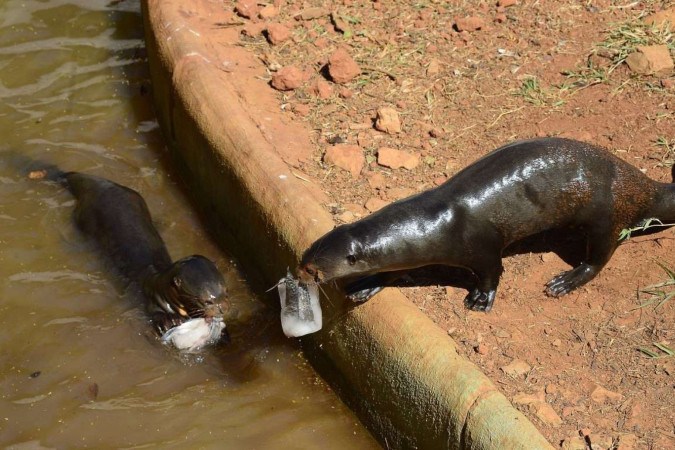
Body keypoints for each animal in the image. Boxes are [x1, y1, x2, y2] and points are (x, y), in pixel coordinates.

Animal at [298, 138, 675, 312]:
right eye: (304, 258)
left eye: (312, 270)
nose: (296, 275)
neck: (433, 223)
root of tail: (639, 184)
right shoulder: (407, 253)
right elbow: (394, 270)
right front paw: (365, 285)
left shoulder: (481, 245)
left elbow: (493, 272)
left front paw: (480, 300)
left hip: (604, 214)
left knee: (600, 256)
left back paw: (565, 281)